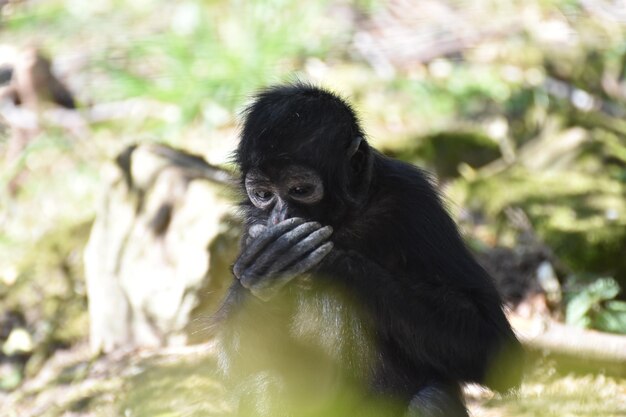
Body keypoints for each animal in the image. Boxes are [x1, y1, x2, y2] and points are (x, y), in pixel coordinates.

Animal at [214, 82, 520, 416]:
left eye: (300, 190)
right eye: (263, 194)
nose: (280, 217)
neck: (345, 219)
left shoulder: (413, 197)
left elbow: (496, 348)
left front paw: (335, 263)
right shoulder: (253, 227)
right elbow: (242, 367)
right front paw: (260, 272)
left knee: (431, 398)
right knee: (264, 384)